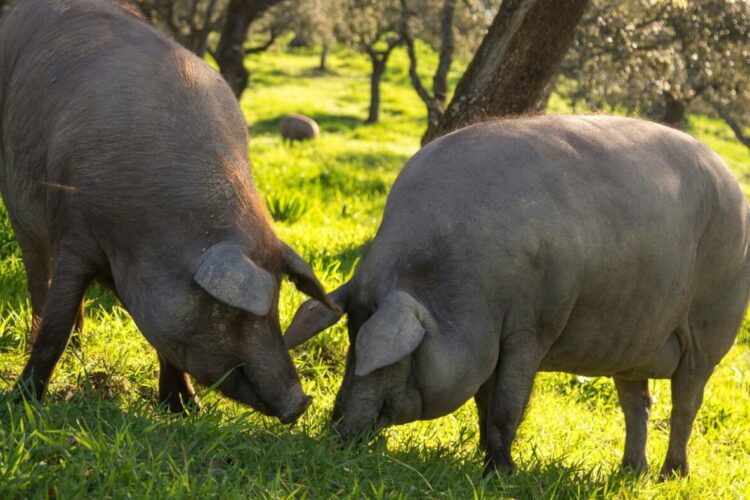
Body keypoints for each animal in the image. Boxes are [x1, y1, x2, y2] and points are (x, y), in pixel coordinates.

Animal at [0, 0, 340, 422]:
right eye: (232, 314)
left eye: (277, 304)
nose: (300, 403)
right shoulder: (74, 236)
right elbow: (55, 328)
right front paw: (20, 403)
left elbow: (166, 343)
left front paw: (186, 409)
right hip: (21, 214)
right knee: (39, 284)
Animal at [286, 114, 750, 476]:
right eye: (350, 335)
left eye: (395, 358)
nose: (336, 429)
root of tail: (732, 182)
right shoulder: (490, 340)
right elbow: (484, 400)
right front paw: (478, 458)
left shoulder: (532, 328)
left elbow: (507, 403)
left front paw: (500, 473)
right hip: (634, 335)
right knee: (639, 403)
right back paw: (630, 472)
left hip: (711, 326)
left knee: (687, 401)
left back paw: (671, 475)